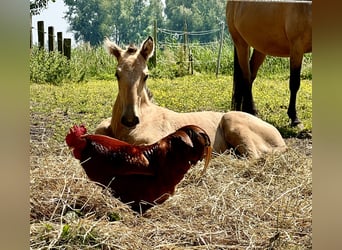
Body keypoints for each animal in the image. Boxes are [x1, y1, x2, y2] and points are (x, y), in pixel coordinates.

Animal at [95, 36, 288, 158]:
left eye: (146, 75)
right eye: (117, 74)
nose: (129, 119)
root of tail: (281, 140)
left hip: (232, 121)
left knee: (252, 157)